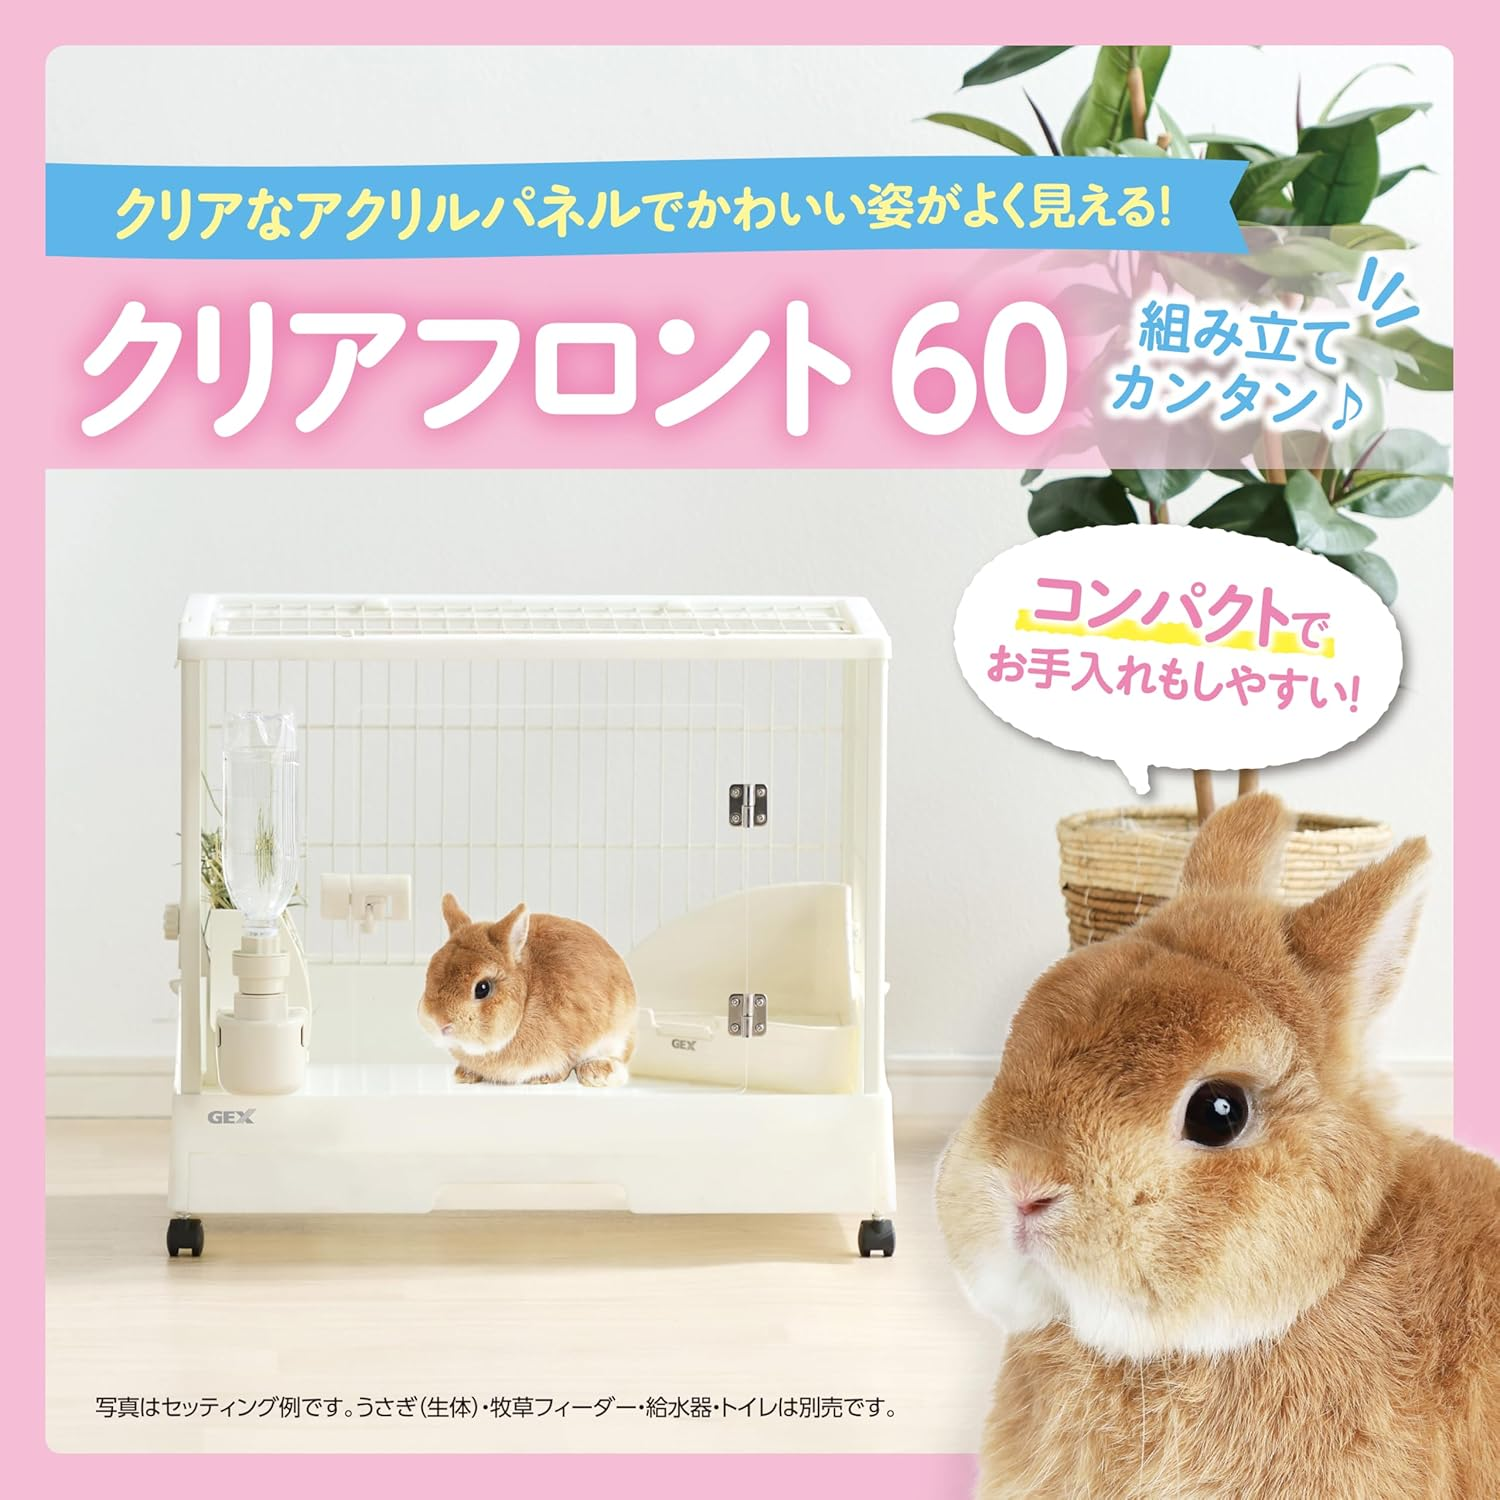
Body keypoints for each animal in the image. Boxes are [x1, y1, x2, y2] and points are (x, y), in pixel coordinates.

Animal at [418, 895, 636, 1087]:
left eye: (482, 988)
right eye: (429, 975)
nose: (438, 1022)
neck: (526, 999)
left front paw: (542, 1079)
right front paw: (464, 1074)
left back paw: (597, 1073)